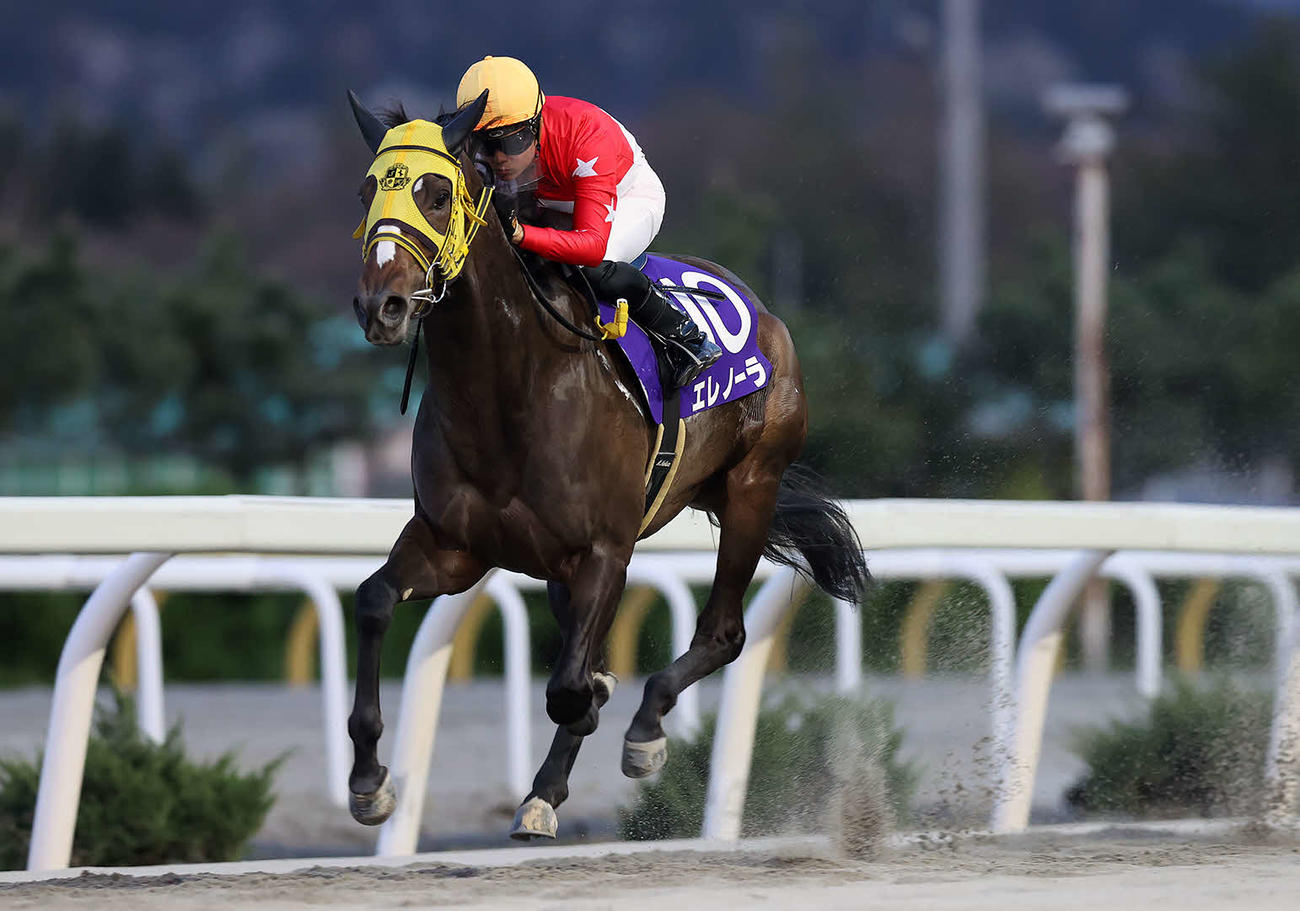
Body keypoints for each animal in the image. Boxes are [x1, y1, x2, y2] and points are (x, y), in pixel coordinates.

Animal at [344, 90, 869, 839]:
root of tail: (765, 313)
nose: (380, 305)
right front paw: (369, 780)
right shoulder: (454, 545)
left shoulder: (603, 550)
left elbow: (569, 688)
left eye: (437, 192)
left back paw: (637, 732)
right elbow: (372, 601)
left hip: (750, 486)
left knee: (725, 632)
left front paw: (598, 714)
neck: (507, 389)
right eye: (367, 192)